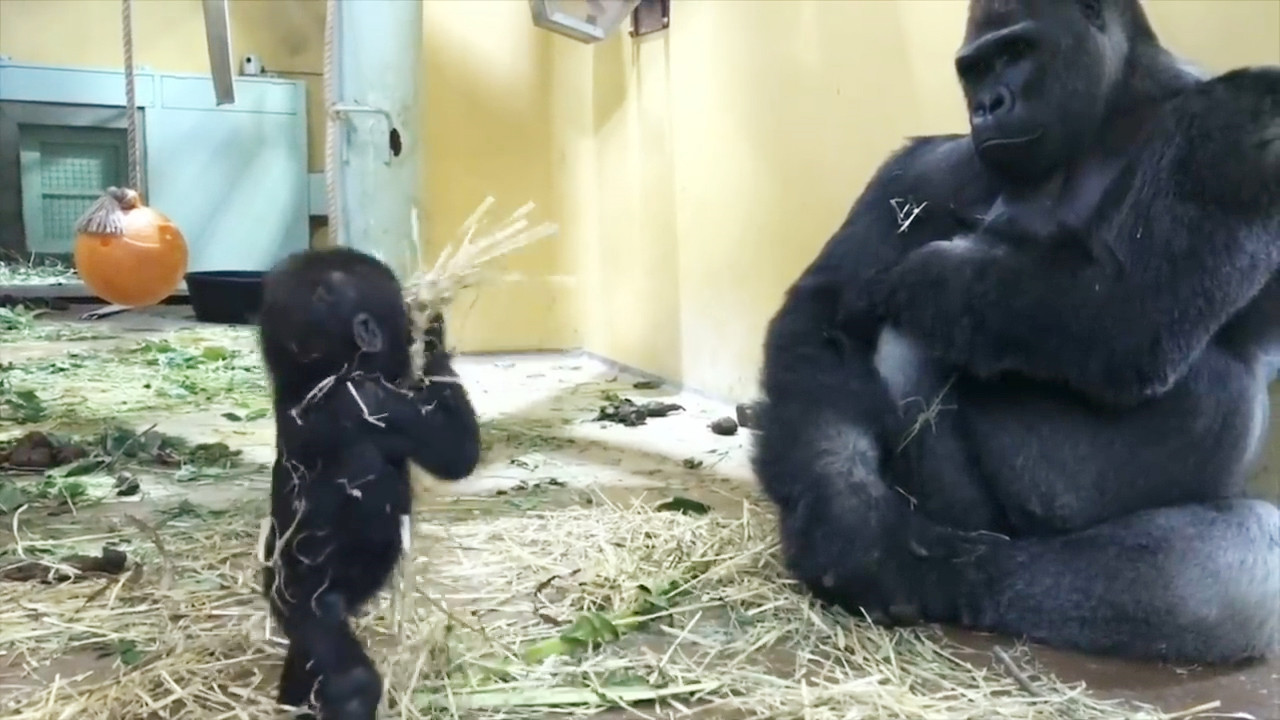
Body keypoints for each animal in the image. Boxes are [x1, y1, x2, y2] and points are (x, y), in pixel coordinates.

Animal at [257, 248, 481, 717]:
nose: (410, 311)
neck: (315, 378)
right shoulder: (370, 400)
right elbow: (456, 453)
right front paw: (431, 330)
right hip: (301, 600)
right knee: (347, 676)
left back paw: (292, 699)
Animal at [752, 0, 1274, 661]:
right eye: (974, 69)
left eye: (1017, 52)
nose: (988, 105)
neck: (1111, 113)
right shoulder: (924, 169)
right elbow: (823, 318)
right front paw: (847, 521)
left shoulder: (1240, 127)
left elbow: (1130, 309)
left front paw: (921, 274)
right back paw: (937, 565)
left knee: (1224, 569)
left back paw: (969, 578)